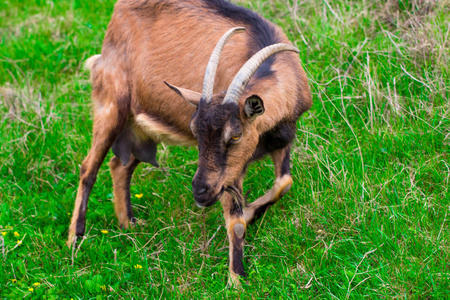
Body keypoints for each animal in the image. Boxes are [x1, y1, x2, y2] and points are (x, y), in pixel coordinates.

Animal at [68, 0, 312, 284]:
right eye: (194, 130)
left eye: (235, 135)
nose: (200, 191)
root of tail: (117, 14)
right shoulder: (229, 175)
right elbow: (236, 222)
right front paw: (237, 280)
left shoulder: (281, 140)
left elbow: (284, 183)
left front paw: (251, 213)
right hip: (111, 105)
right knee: (89, 167)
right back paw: (74, 240)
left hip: (140, 126)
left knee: (120, 165)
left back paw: (128, 224)